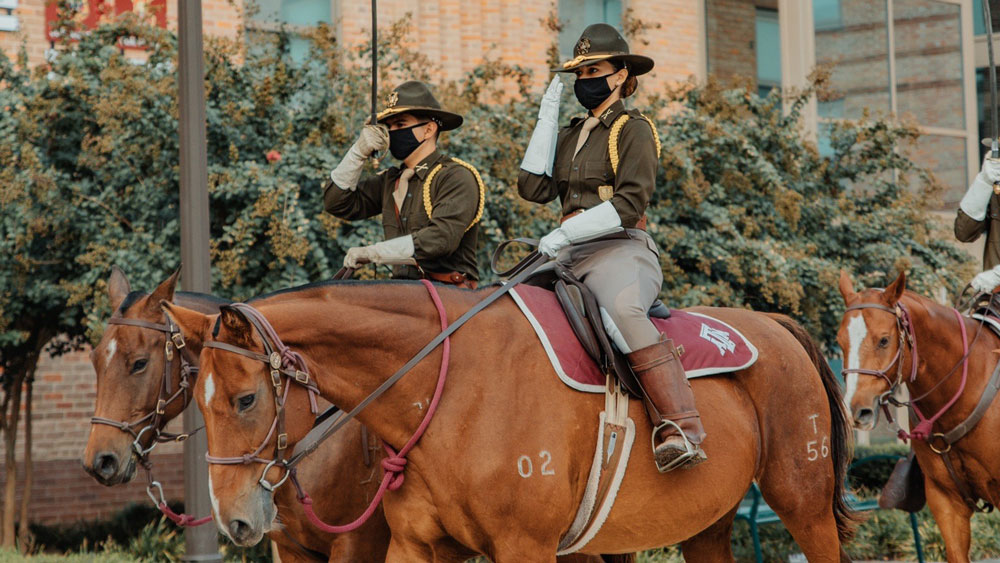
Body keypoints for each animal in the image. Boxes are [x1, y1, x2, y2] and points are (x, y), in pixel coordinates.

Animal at [162, 280, 852, 560]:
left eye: (245, 400)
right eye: (195, 398)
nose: (234, 521)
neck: (448, 390)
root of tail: (775, 324)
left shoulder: (526, 547)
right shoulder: (414, 546)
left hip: (805, 504)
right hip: (707, 525)